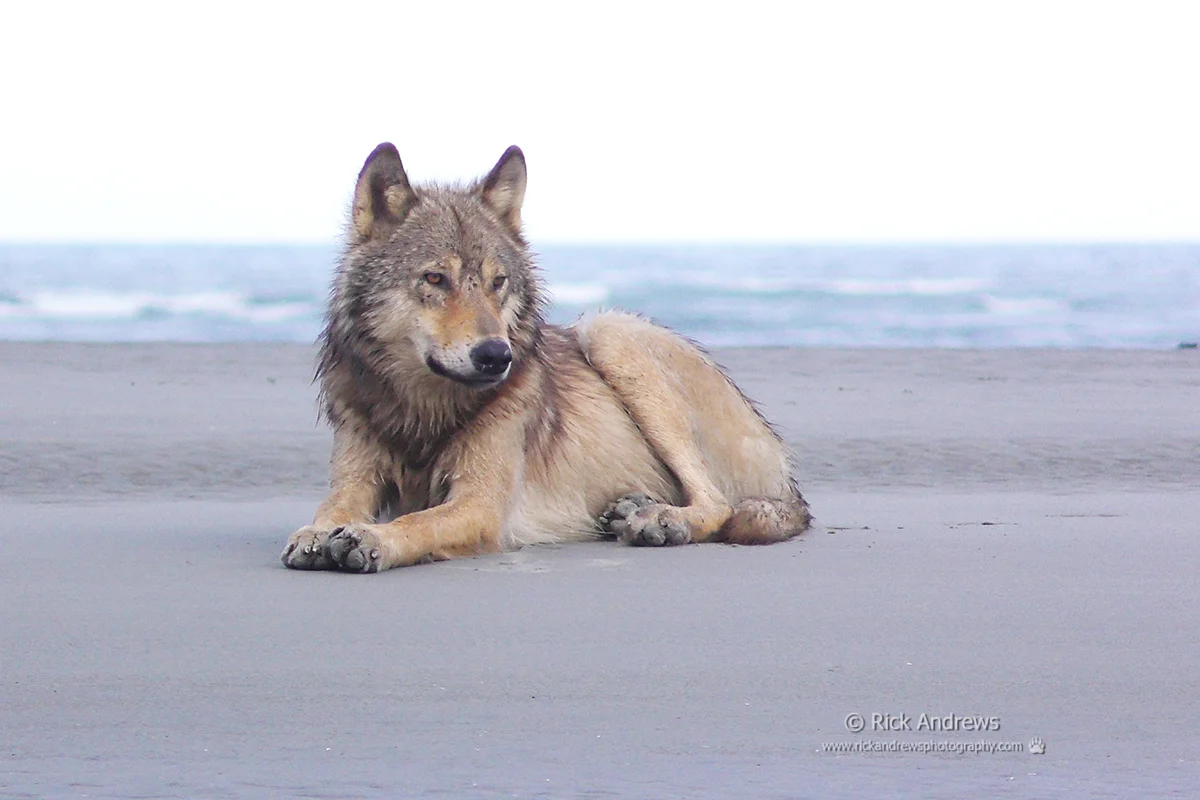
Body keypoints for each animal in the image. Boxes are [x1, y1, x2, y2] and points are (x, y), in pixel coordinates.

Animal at [281, 143, 811, 572]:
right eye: (435, 279)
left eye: (497, 282)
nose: (496, 356)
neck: (421, 412)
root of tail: (790, 482)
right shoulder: (356, 477)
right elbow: (331, 508)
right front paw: (315, 534)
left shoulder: (479, 505)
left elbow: (417, 523)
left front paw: (370, 538)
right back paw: (632, 508)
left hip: (608, 330)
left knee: (719, 505)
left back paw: (659, 521)